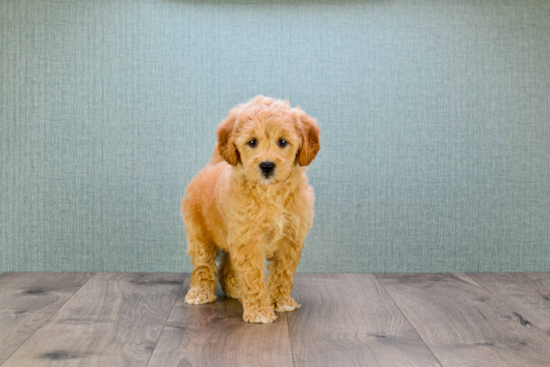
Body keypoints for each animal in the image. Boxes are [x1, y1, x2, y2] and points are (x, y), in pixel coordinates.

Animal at [182, 95, 320, 324]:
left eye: (283, 142)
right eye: (252, 142)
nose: (267, 166)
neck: (270, 192)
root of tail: (210, 167)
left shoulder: (290, 238)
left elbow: (283, 272)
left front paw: (280, 301)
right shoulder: (248, 240)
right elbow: (252, 276)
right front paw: (259, 311)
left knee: (227, 263)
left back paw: (234, 289)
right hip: (199, 232)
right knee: (203, 264)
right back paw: (200, 292)